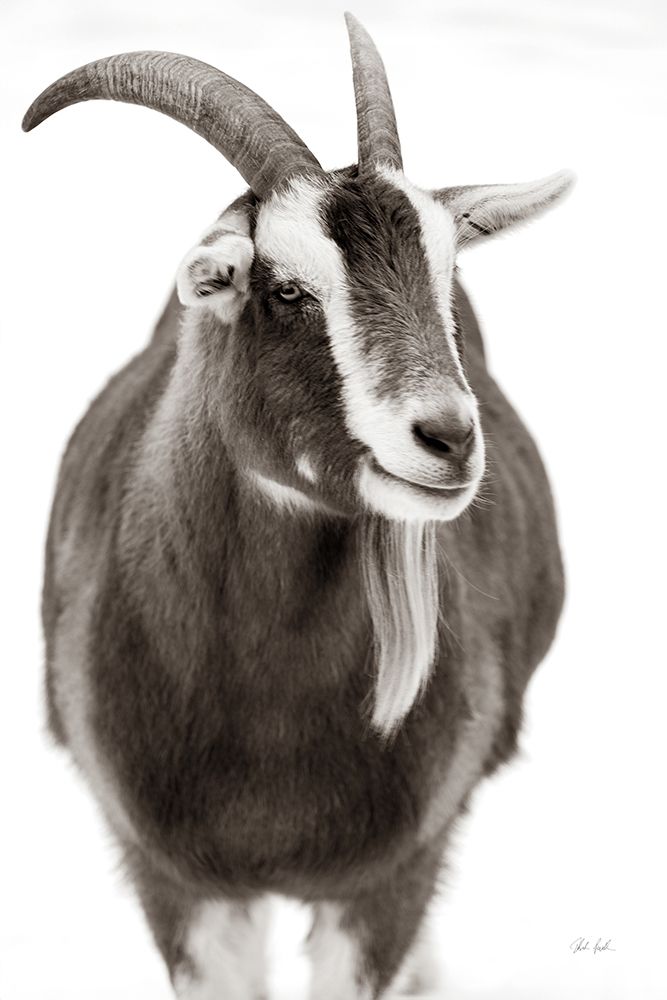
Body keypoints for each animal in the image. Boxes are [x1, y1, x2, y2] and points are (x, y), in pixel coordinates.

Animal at [24, 13, 572, 998]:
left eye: (443, 278)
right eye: (285, 288)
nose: (446, 439)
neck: (263, 721)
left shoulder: (386, 884)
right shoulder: (179, 885)